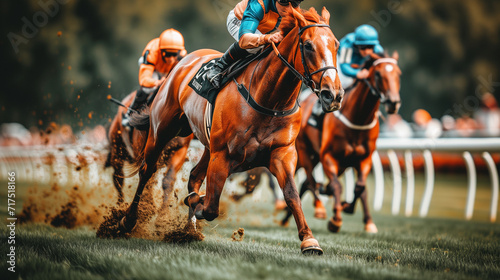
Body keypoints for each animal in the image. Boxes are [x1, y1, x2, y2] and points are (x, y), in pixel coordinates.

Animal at [120, 7, 344, 255]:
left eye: (336, 45)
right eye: (308, 45)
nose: (333, 95)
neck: (269, 100)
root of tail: (181, 63)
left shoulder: (282, 153)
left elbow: (292, 194)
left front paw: (309, 240)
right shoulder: (223, 156)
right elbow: (210, 206)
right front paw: (197, 203)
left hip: (207, 145)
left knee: (194, 176)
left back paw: (188, 230)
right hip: (162, 130)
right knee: (147, 170)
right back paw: (128, 221)